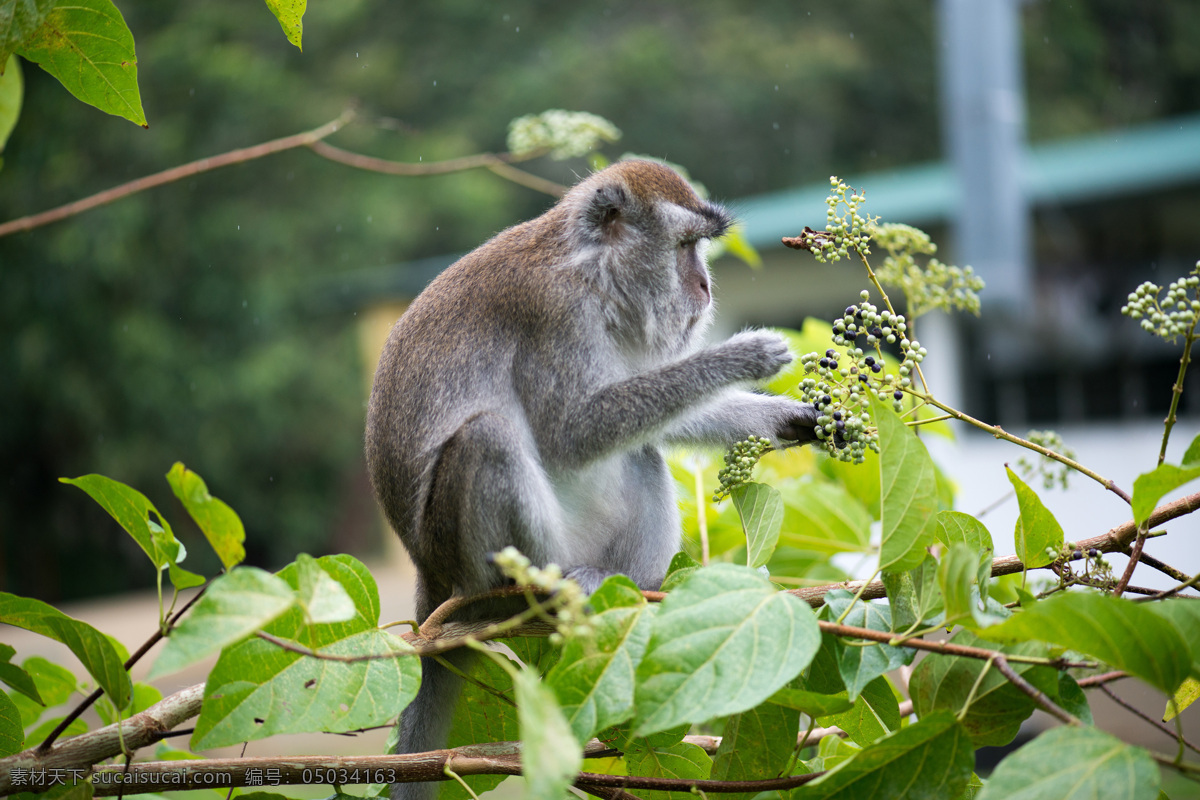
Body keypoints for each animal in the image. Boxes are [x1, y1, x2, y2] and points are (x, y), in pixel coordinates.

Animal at [360, 158, 820, 800]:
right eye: (685, 247)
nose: (705, 288)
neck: (592, 271)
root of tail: (428, 579)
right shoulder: (555, 312)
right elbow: (571, 433)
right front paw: (738, 357)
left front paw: (793, 417)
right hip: (464, 562)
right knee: (489, 439)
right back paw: (546, 590)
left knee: (641, 450)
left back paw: (634, 583)